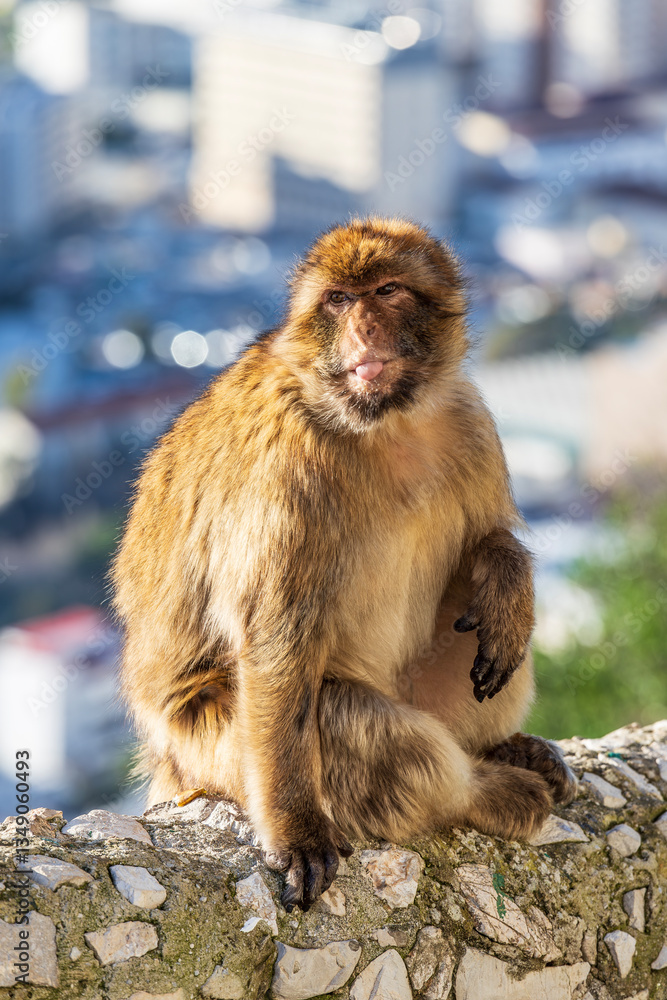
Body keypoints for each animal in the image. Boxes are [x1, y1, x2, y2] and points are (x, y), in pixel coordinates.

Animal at [112, 216, 576, 913]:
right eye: (337, 301)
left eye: (387, 291)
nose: (363, 329)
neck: (384, 424)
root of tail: (165, 764)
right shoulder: (285, 469)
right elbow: (277, 646)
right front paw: (298, 833)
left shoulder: (470, 422)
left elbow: (486, 538)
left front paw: (506, 572)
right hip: (209, 749)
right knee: (340, 717)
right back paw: (485, 791)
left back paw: (503, 743)